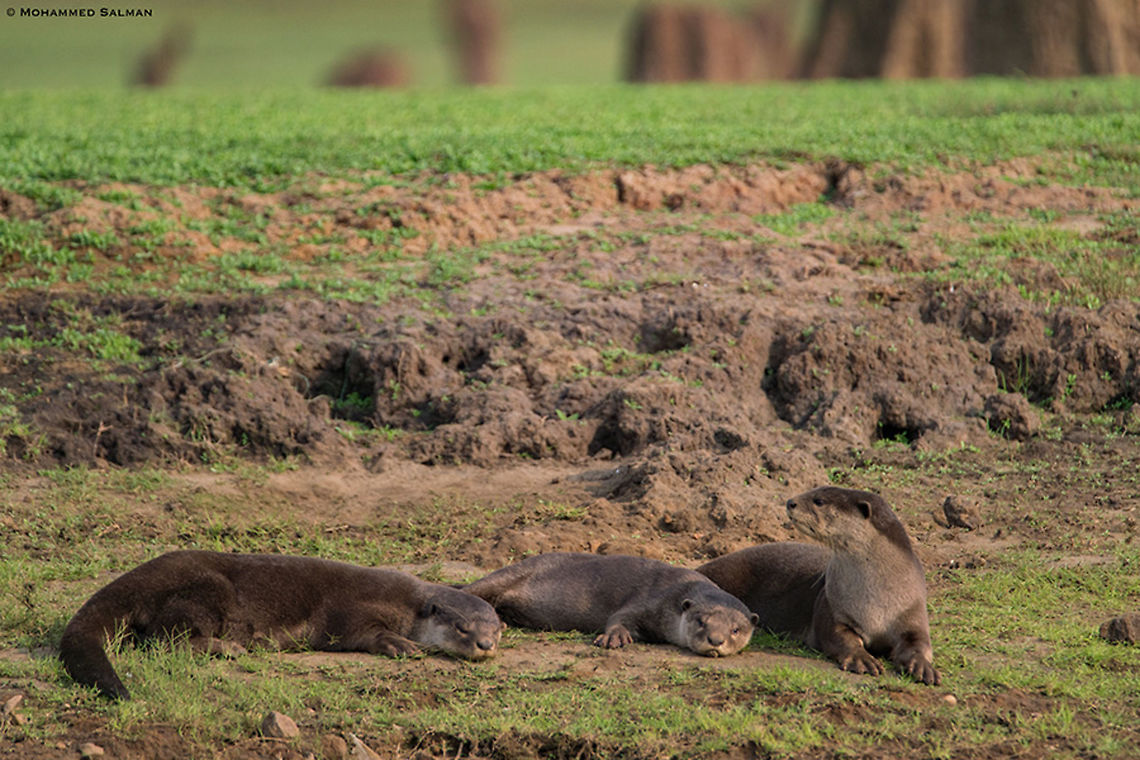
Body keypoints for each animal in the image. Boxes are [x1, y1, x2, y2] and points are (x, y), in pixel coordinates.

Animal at [60, 550, 505, 700]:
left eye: (496, 628)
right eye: (462, 627)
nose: (486, 645)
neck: (405, 604)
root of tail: (139, 575)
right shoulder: (349, 610)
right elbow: (359, 633)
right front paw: (400, 644)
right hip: (207, 590)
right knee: (166, 639)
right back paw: (230, 647)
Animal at [464, 552, 758, 656]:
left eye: (735, 629)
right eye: (700, 621)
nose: (716, 640)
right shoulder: (651, 598)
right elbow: (619, 616)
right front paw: (613, 638)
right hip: (507, 574)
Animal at [698, 487, 940, 685]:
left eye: (819, 501)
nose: (790, 502)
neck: (875, 599)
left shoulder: (912, 611)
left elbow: (919, 644)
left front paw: (923, 667)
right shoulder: (831, 604)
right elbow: (839, 636)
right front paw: (862, 658)